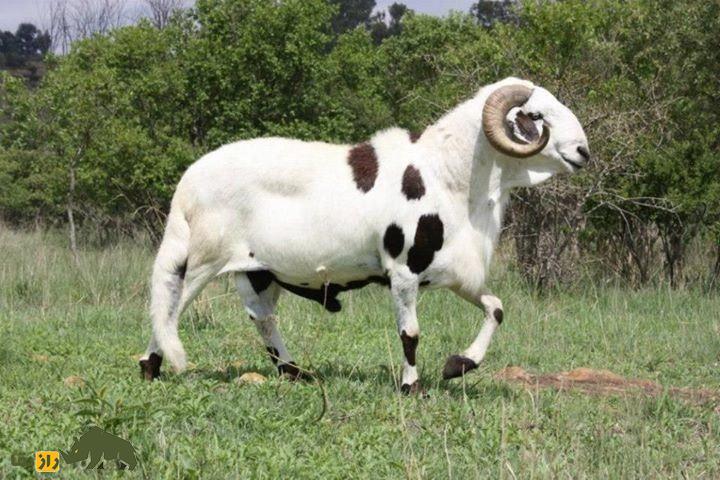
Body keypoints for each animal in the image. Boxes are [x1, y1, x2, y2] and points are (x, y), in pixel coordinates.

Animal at [138, 77, 588, 392]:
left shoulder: (452, 272)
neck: (448, 172)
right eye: (536, 116)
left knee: (262, 319)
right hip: (203, 262)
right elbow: (410, 334)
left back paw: (294, 371)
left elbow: (495, 308)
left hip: (258, 271)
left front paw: (457, 365)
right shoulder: (403, 271)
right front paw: (412, 386)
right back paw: (152, 367)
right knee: (172, 309)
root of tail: (190, 180)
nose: (583, 152)